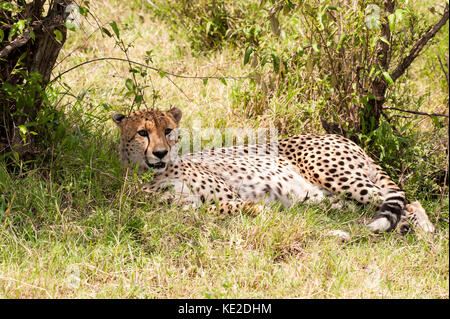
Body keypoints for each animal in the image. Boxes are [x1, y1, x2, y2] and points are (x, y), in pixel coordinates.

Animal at [112, 109, 436, 234]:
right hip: (329, 199)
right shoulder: (181, 210)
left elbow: (233, 205)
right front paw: (261, 211)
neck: (153, 173)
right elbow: (217, 209)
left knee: (405, 199)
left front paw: (261, 212)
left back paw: (426, 231)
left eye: (167, 130)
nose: (160, 153)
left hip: (336, 175)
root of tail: (343, 137)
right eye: (142, 133)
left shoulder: (226, 193)